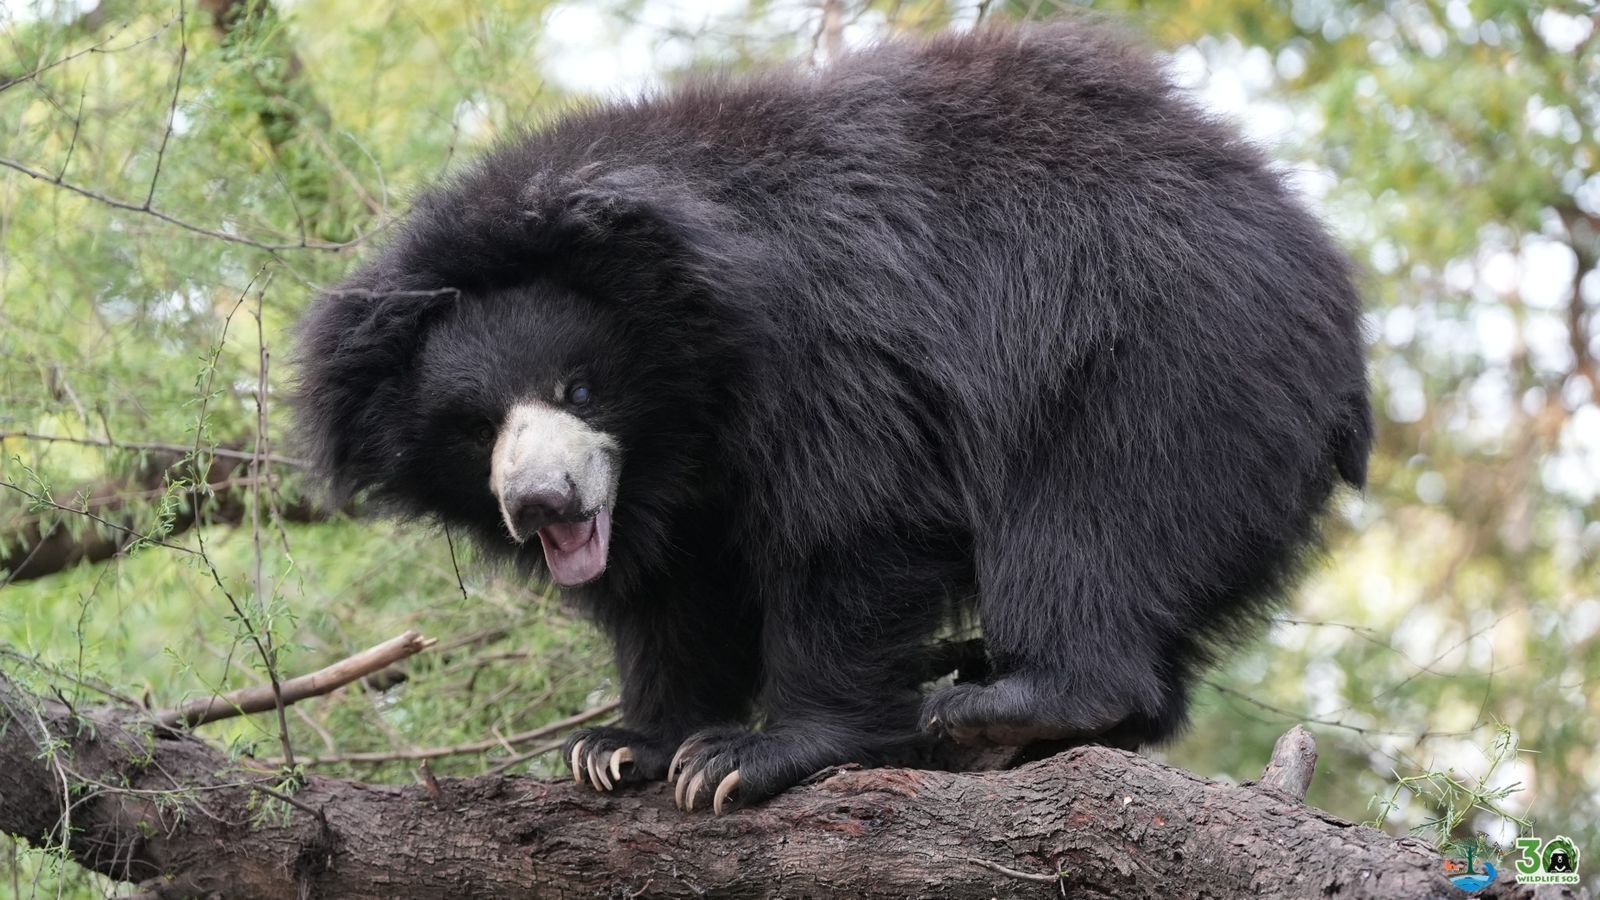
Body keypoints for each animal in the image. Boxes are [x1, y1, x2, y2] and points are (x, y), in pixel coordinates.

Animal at [293, 21, 1372, 814]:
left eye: (579, 390)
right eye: (474, 428)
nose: (543, 505)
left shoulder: (829, 353)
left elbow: (850, 524)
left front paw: (745, 755)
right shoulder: (674, 486)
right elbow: (670, 594)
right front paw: (620, 747)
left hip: (1162, 353)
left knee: (1089, 518)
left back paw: (1007, 701)